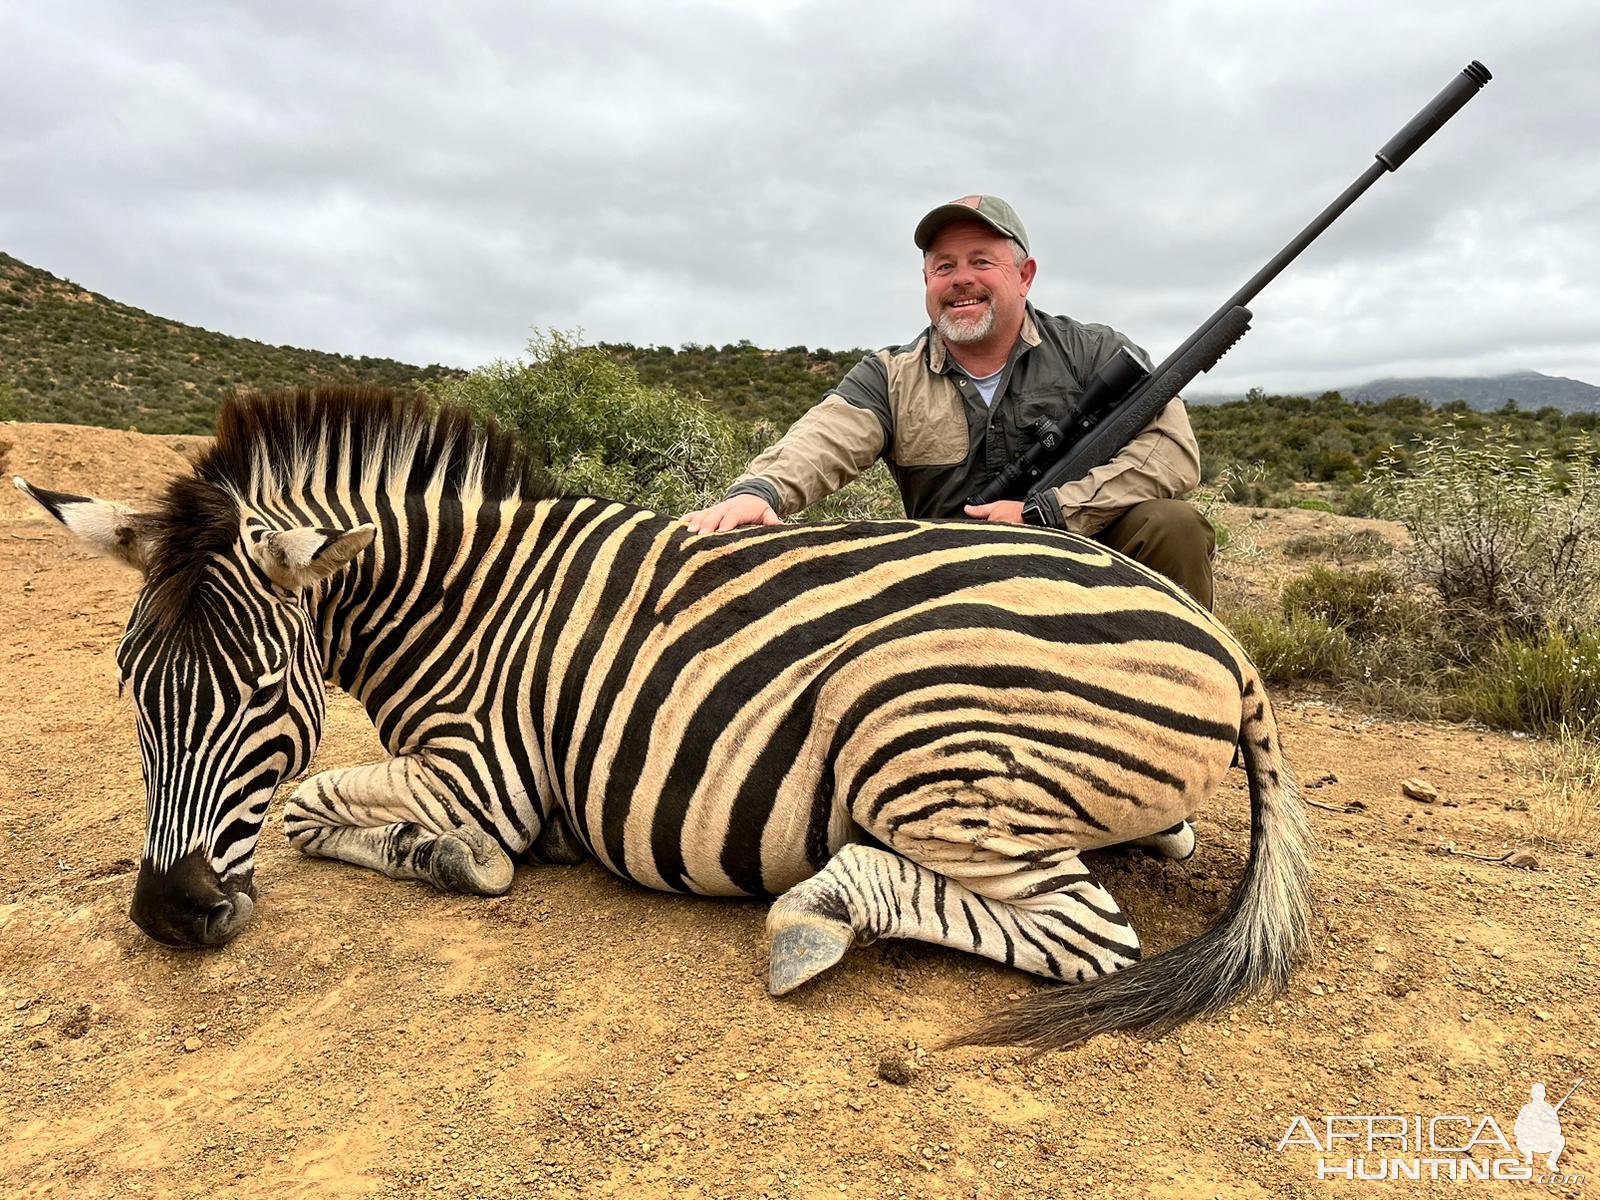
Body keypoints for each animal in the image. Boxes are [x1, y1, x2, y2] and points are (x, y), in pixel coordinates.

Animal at [15, 387, 1312, 1049]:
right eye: (130, 685)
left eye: (260, 694)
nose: (168, 915)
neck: (460, 597)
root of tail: (1225, 646)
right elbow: (314, 803)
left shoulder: (484, 770)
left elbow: (310, 799)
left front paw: (454, 859)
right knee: (1141, 855)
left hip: (915, 730)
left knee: (1081, 932)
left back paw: (820, 911)